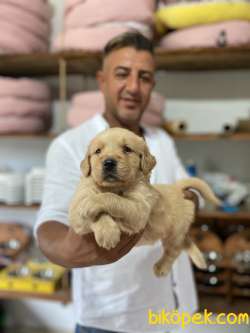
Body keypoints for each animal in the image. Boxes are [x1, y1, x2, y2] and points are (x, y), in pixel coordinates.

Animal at [69, 126, 221, 276]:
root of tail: (177, 187)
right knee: (185, 242)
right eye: (98, 151)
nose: (109, 163)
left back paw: (162, 267)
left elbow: (113, 198)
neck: (114, 187)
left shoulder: (140, 210)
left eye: (127, 149)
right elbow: (94, 211)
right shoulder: (76, 211)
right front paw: (107, 232)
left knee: (174, 249)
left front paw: (92, 204)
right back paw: (199, 259)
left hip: (176, 231)